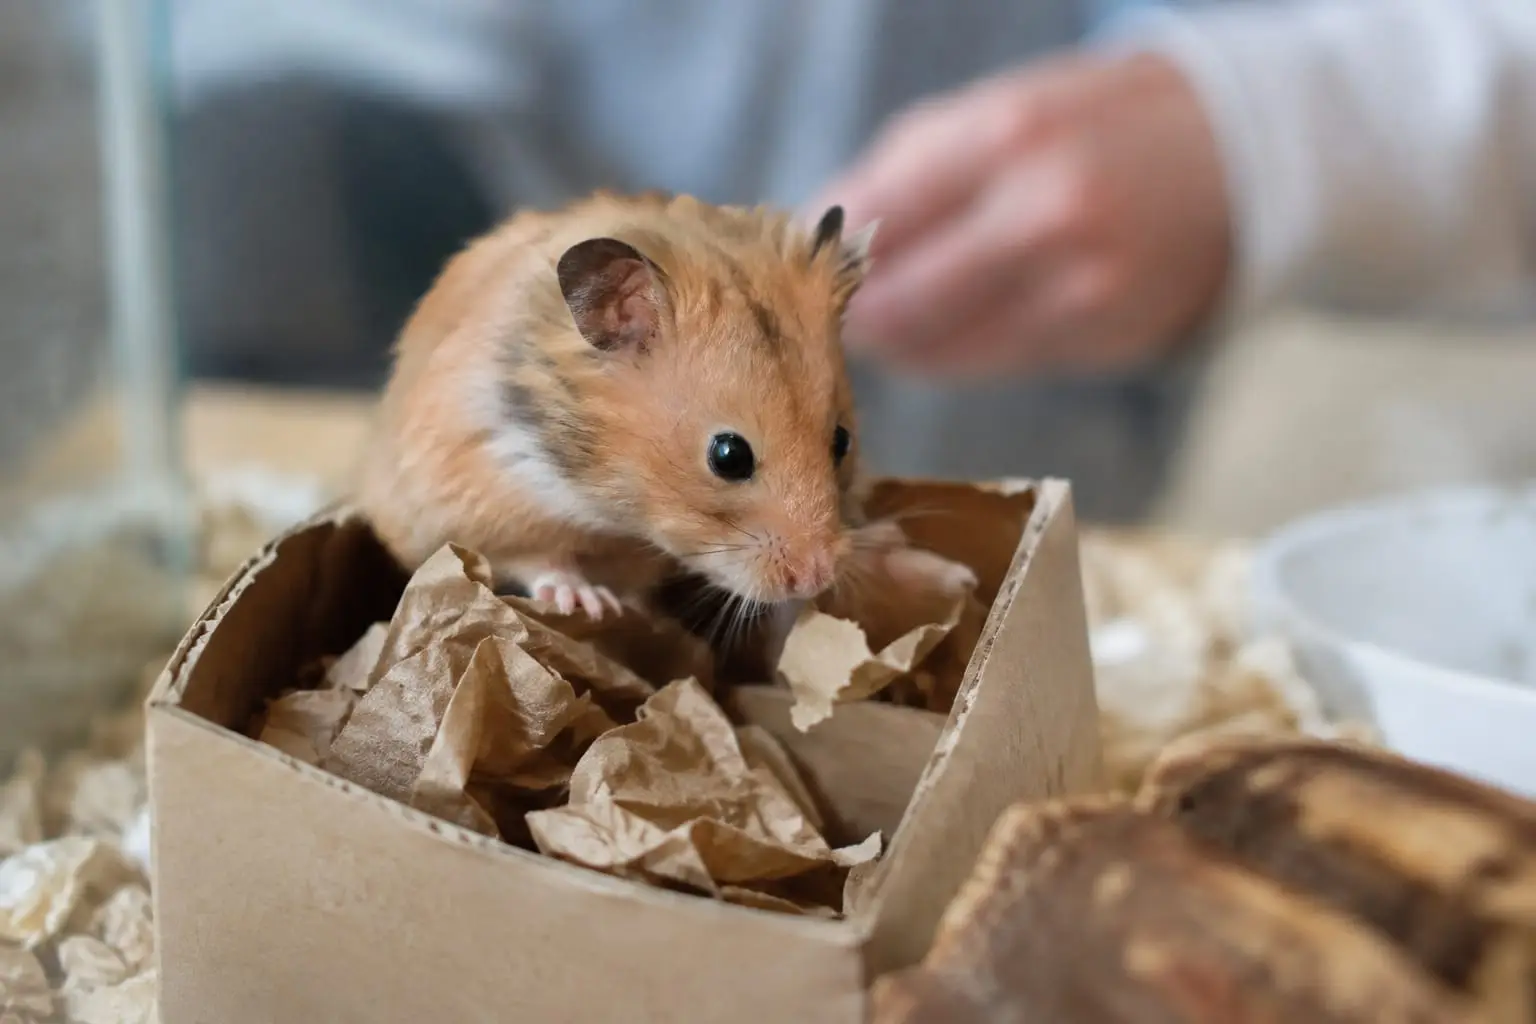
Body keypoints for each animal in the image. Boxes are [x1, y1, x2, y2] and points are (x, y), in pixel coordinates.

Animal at [353, 191, 878, 621]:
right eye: (728, 456)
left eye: (842, 441)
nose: (816, 578)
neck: (611, 503)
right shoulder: (485, 497)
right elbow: (538, 559)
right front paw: (587, 603)